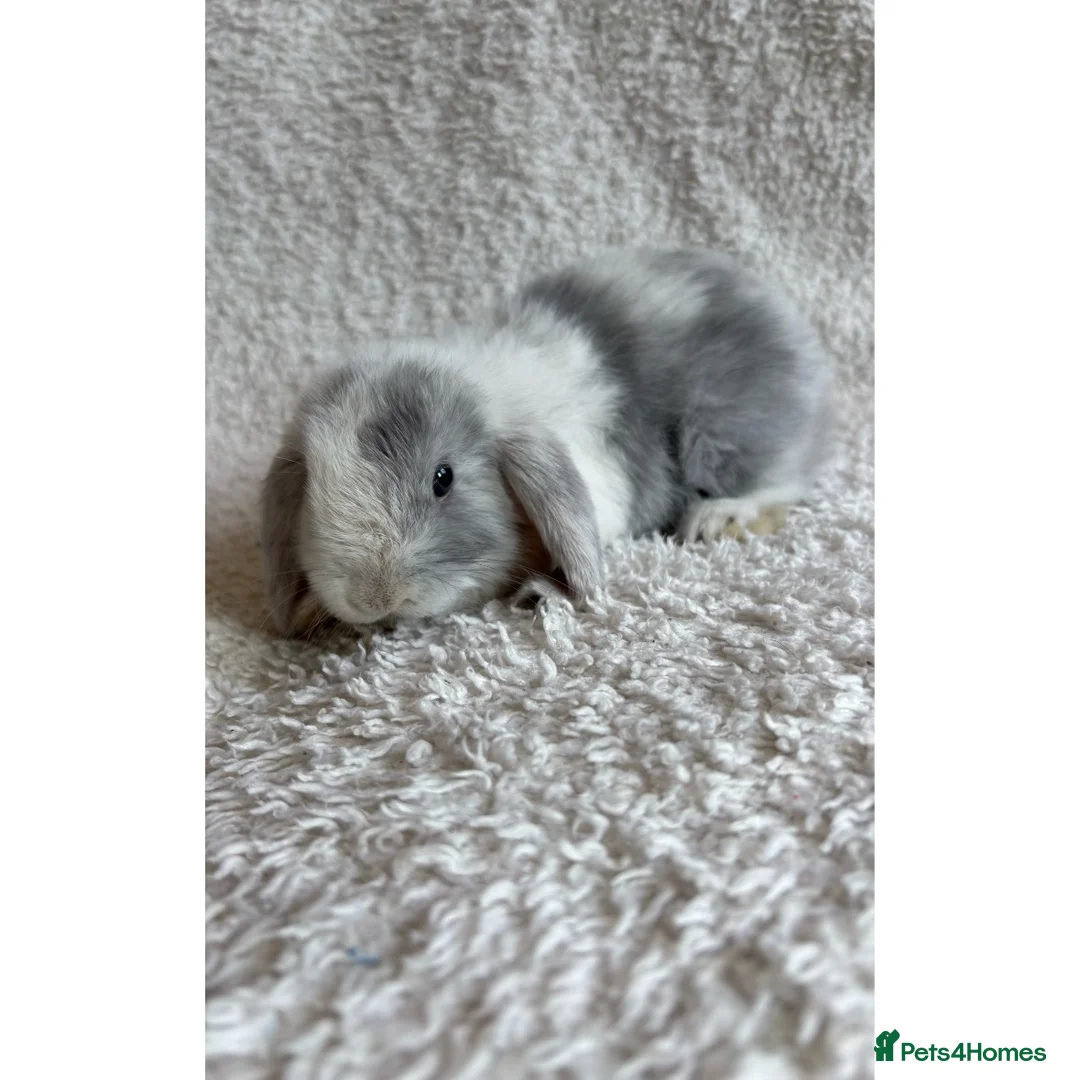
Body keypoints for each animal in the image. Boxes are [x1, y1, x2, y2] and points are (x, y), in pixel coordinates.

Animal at [260, 248, 834, 638]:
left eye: (444, 478)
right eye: (313, 488)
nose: (373, 598)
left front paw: (541, 595)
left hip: (725, 437)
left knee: (781, 482)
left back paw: (715, 519)